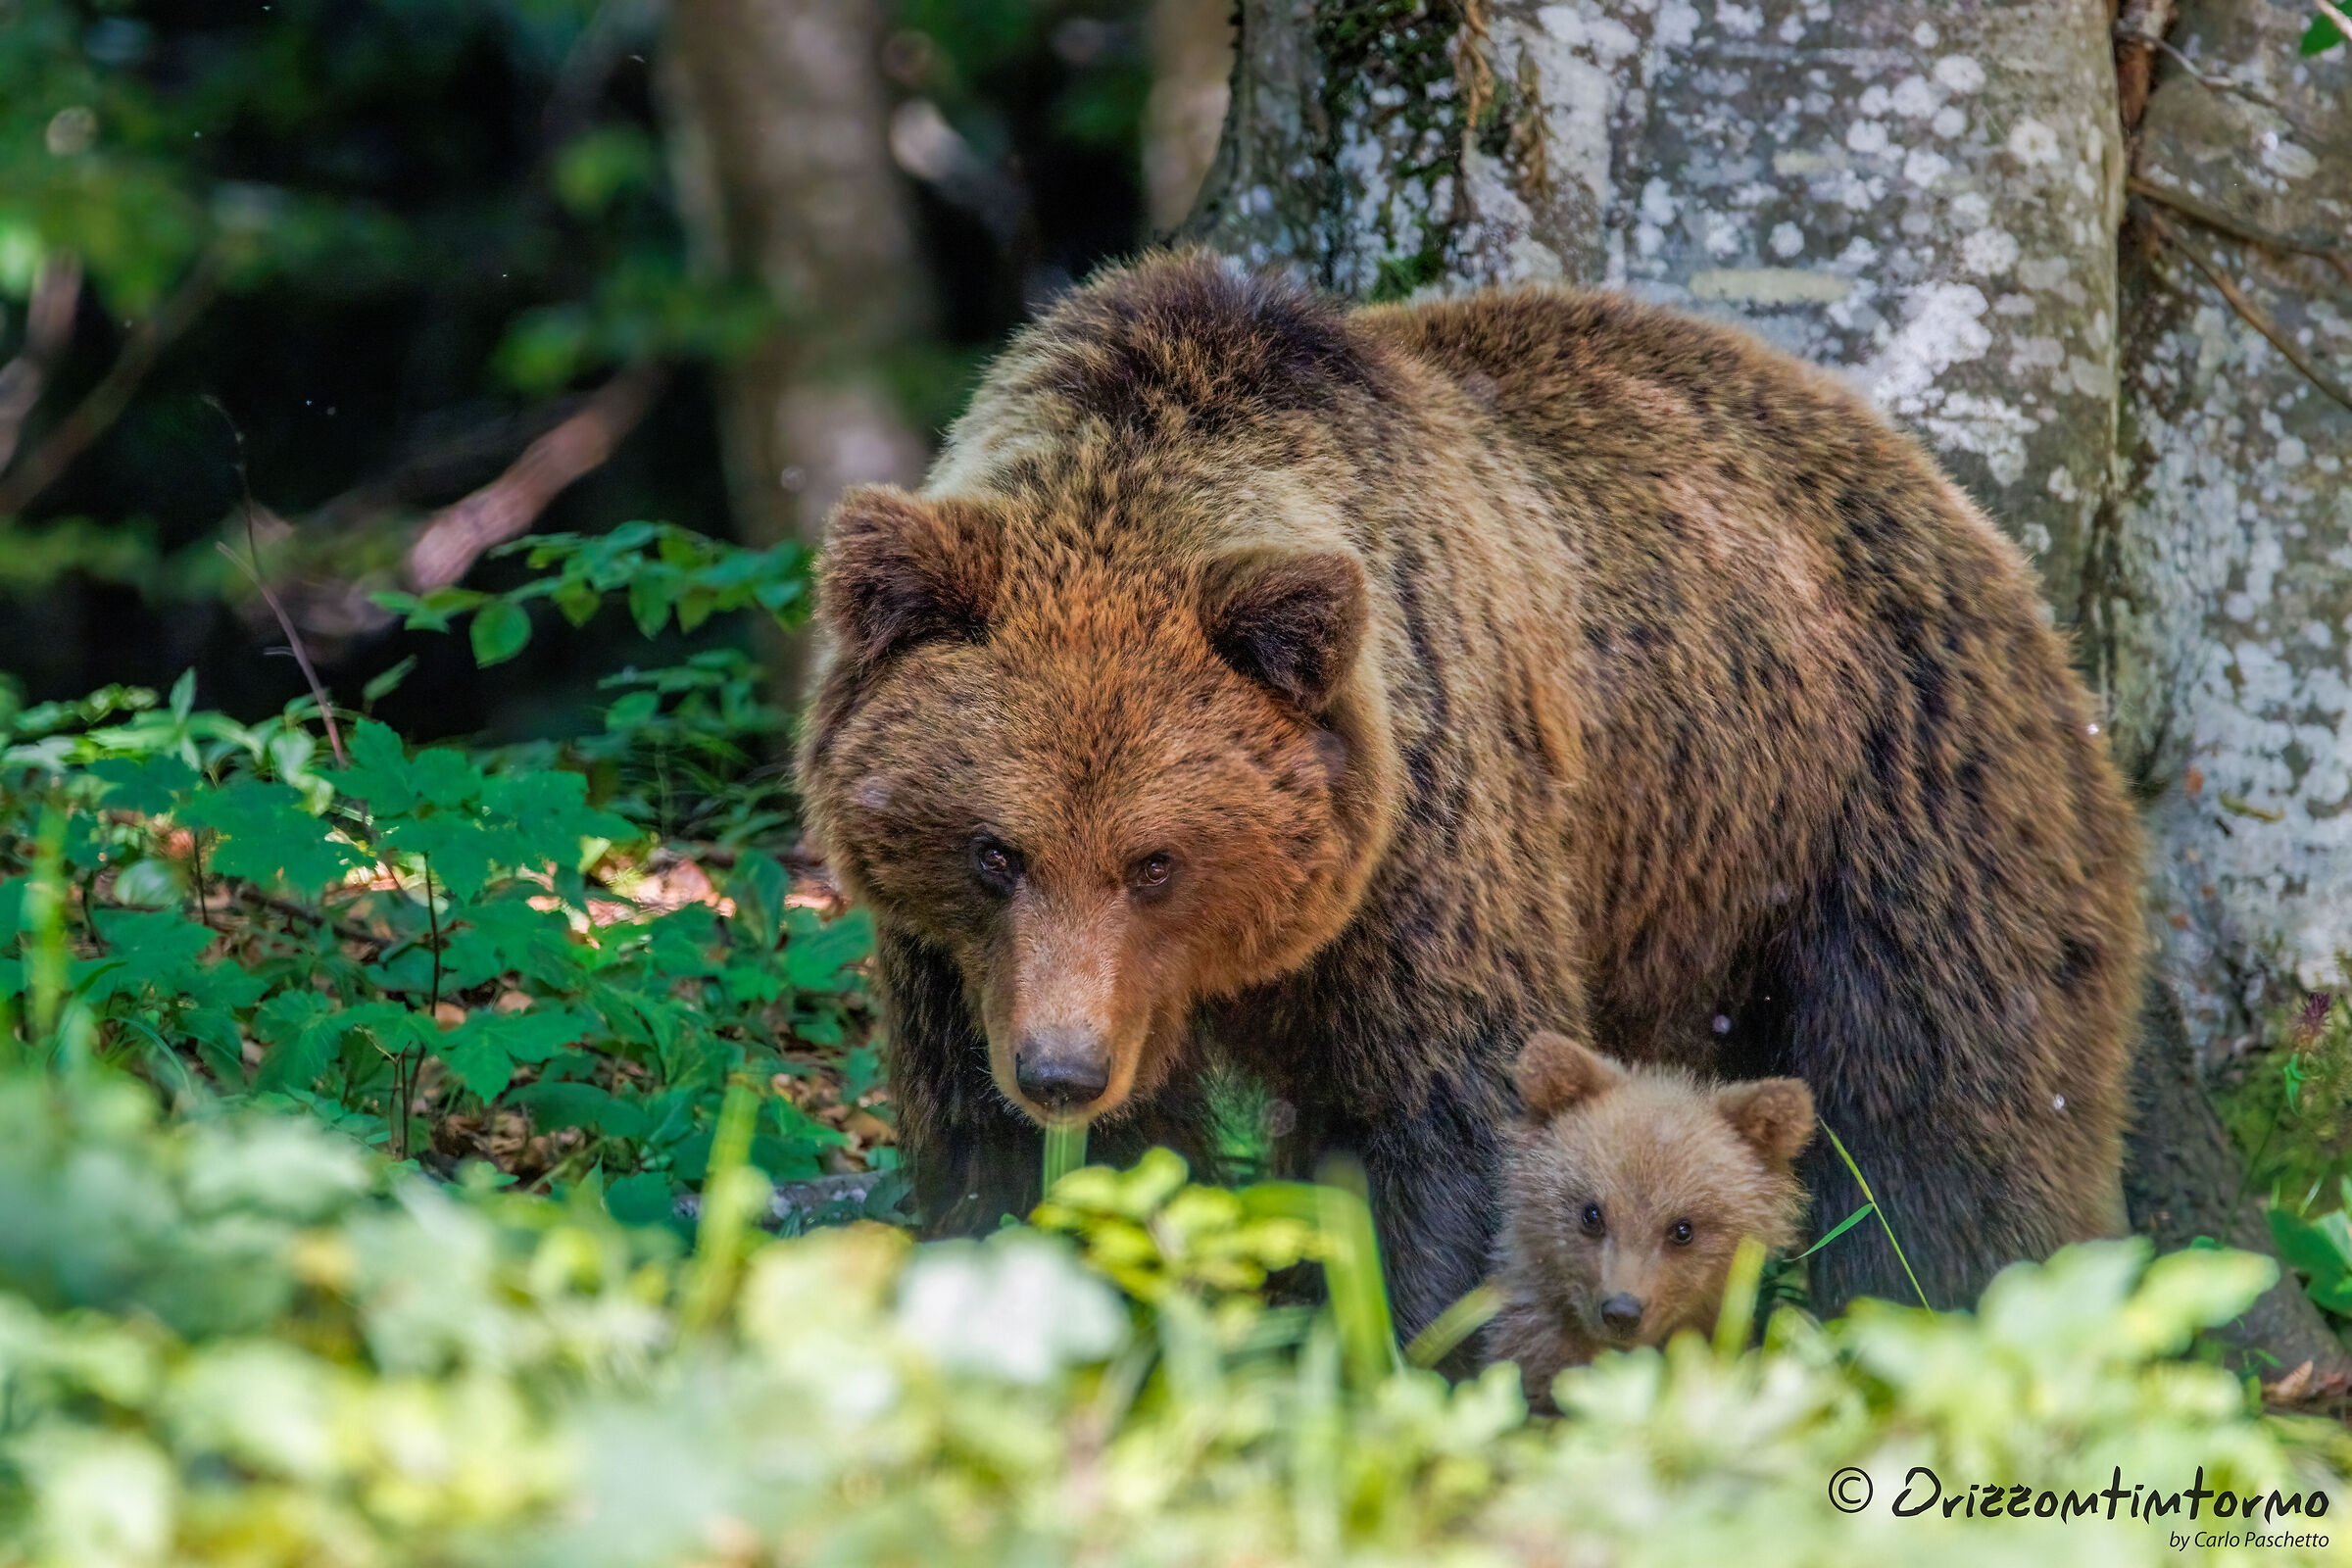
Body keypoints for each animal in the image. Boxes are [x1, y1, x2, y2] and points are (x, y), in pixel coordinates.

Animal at [794, 248, 2142, 1349]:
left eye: (1155, 858)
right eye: (995, 850)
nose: (1064, 1069)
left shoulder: (1428, 834)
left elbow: (1444, 1116)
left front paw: (1421, 1342)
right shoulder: (958, 959)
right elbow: (1007, 1155)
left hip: (1885, 805)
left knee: (1946, 1123)